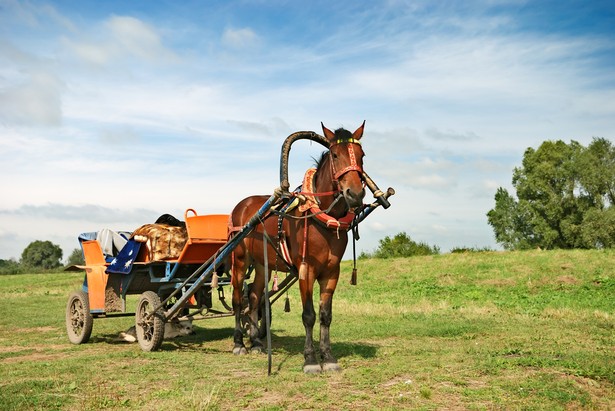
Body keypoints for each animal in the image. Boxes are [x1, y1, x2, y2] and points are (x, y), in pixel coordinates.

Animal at [230, 120, 366, 374]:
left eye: (362, 156)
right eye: (335, 155)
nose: (355, 193)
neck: (321, 217)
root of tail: (243, 205)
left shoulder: (331, 272)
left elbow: (325, 315)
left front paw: (328, 356)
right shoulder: (306, 270)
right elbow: (309, 315)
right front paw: (310, 359)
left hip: (262, 265)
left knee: (253, 297)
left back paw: (255, 341)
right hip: (239, 261)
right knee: (237, 300)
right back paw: (238, 343)